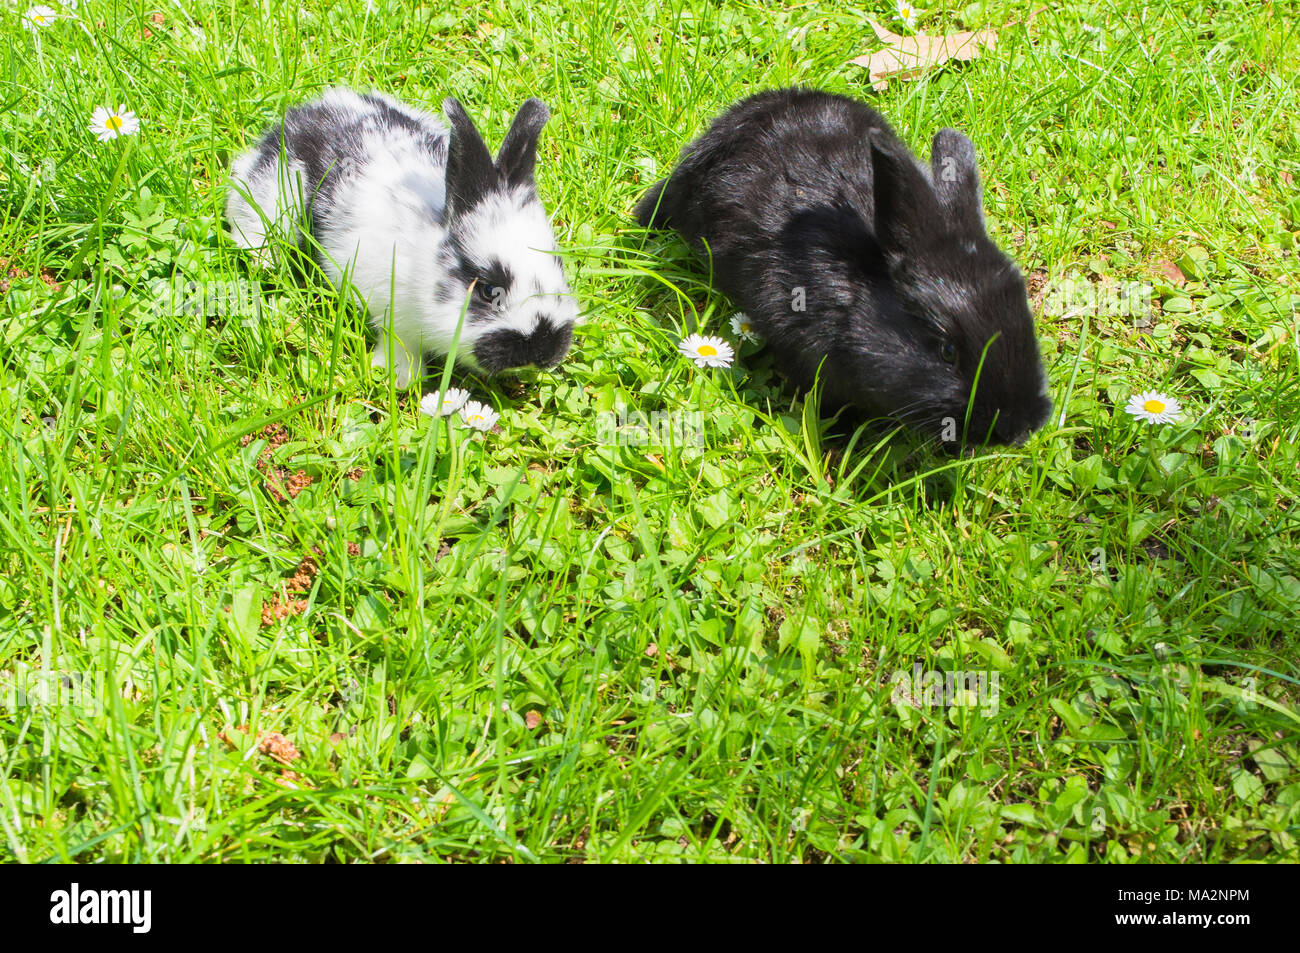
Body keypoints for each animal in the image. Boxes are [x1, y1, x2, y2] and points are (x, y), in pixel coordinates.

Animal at [226, 88, 577, 387]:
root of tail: (300, 116)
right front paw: (401, 379)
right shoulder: (393, 316)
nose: (545, 349)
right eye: (489, 291)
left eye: (558, 266)